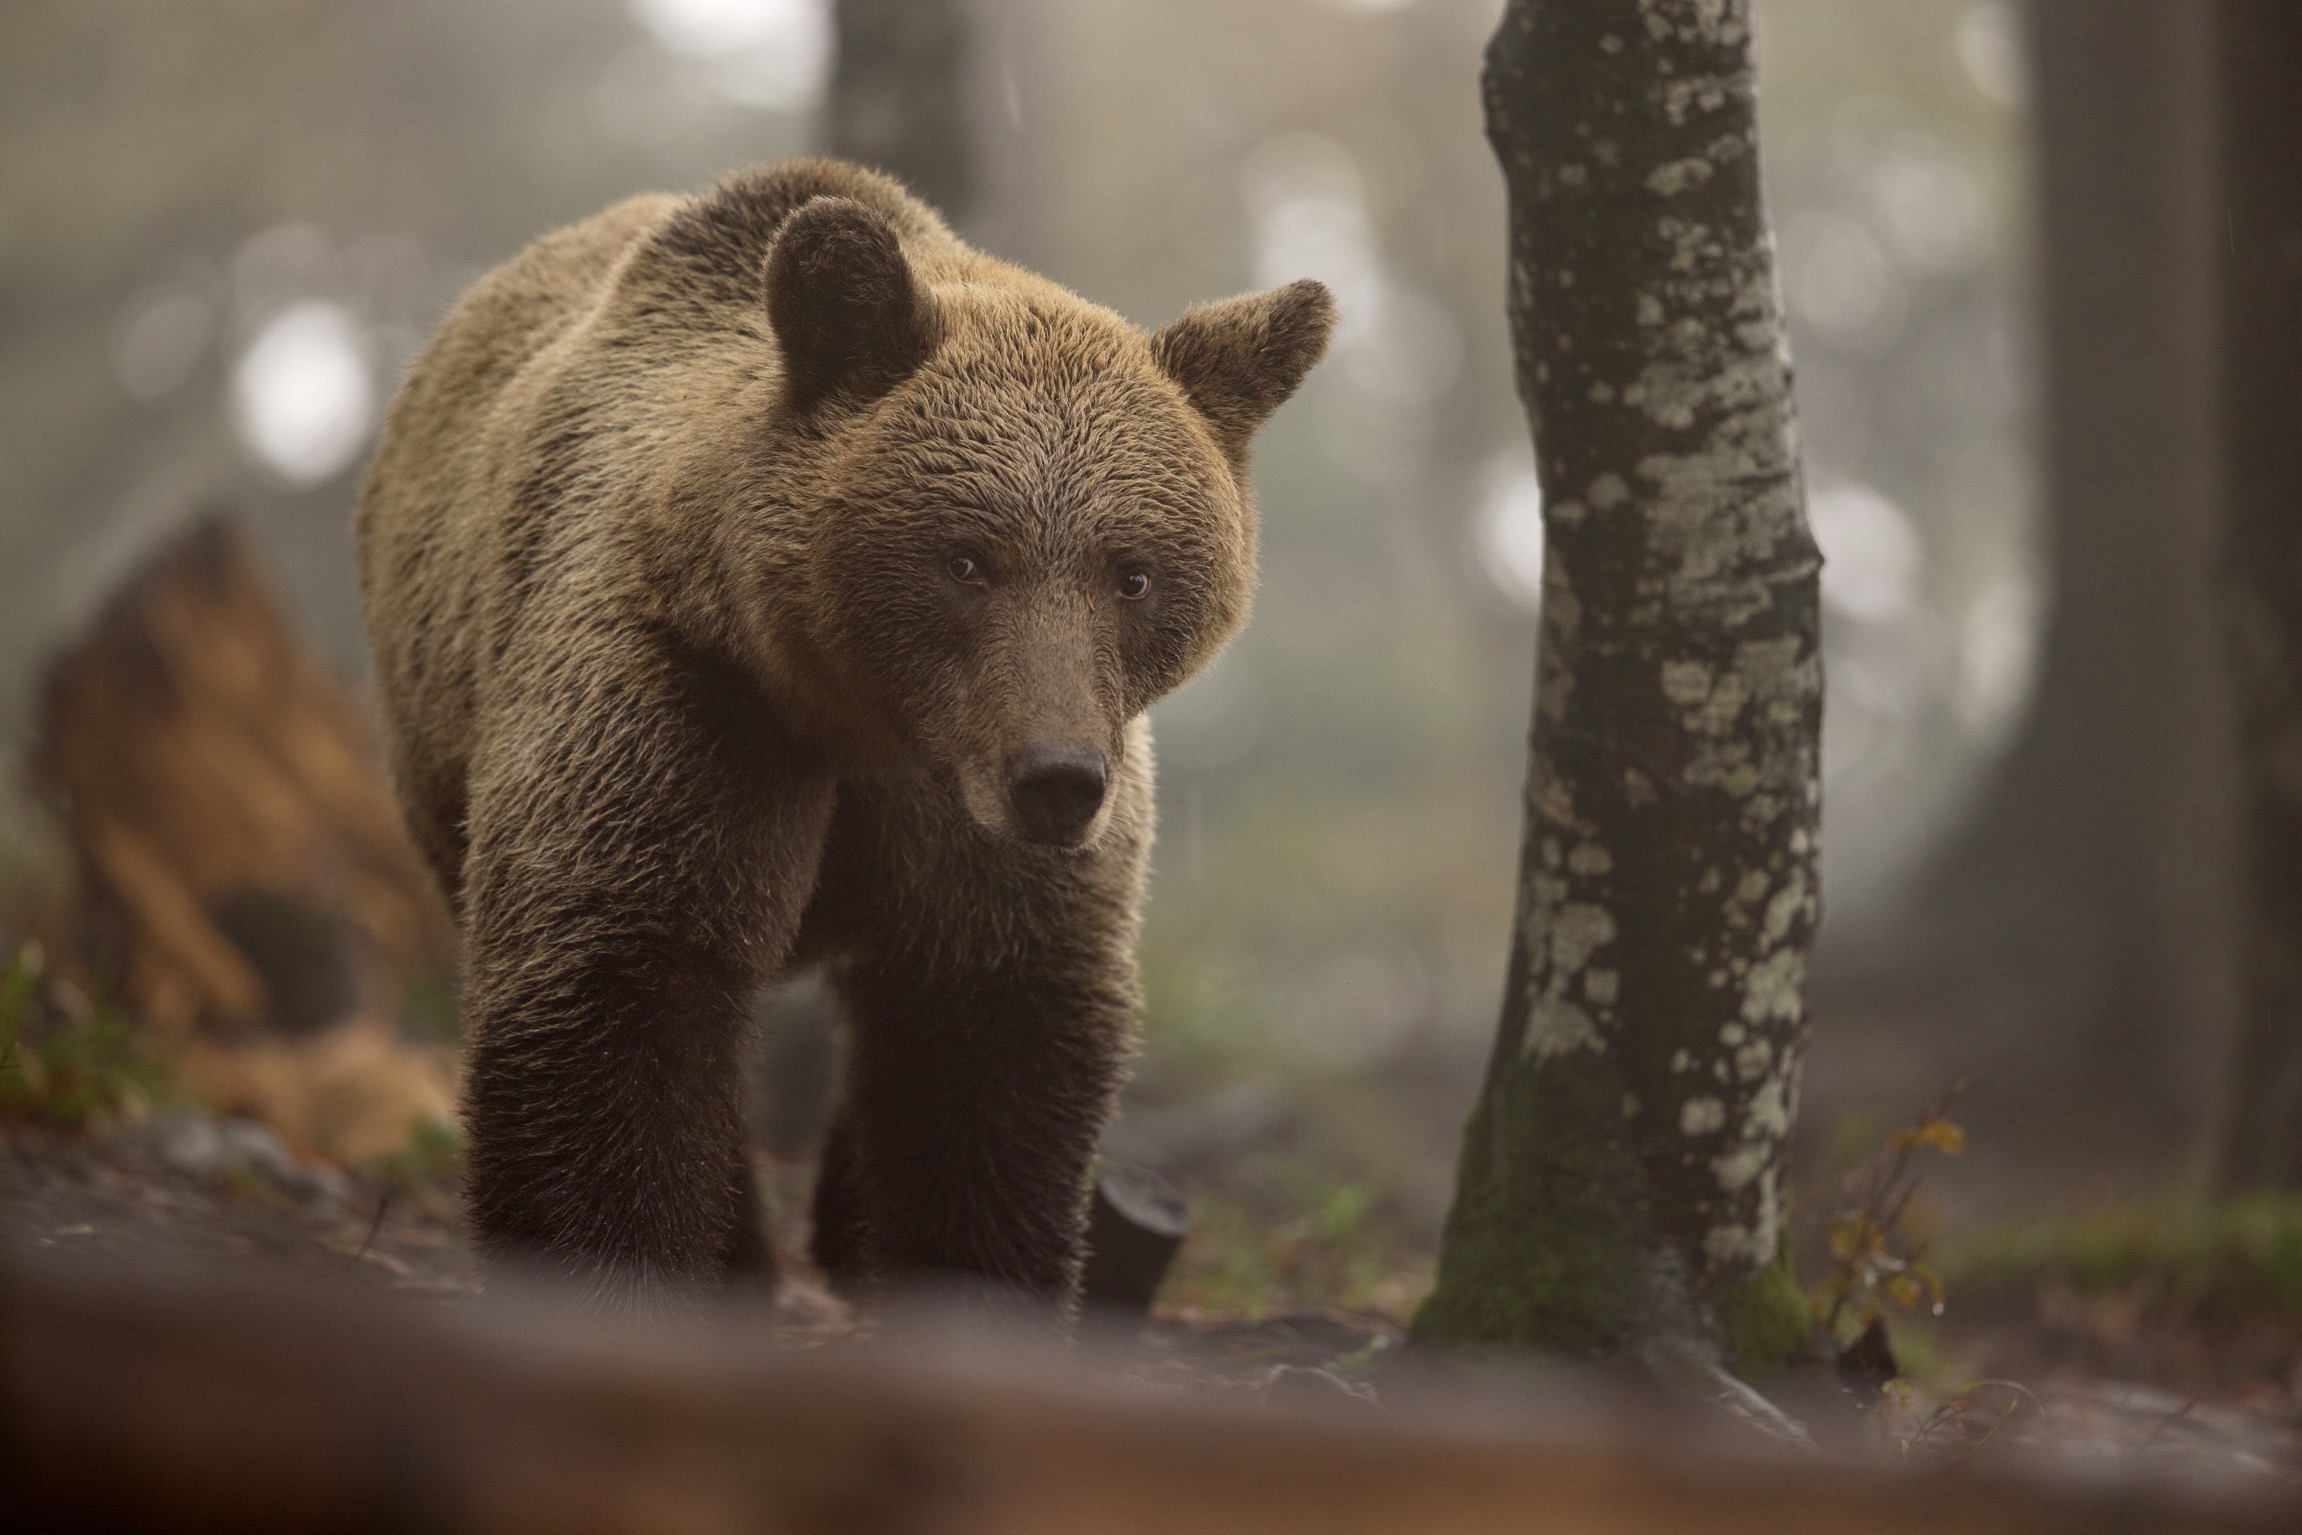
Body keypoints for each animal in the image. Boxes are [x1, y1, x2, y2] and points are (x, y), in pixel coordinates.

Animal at [355, 159, 1334, 1315]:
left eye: (1131, 572)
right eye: (968, 558)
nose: (1057, 778)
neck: (856, 713)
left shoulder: (963, 824)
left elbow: (984, 1049)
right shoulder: (682, 706)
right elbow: (614, 985)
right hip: (436, 734)